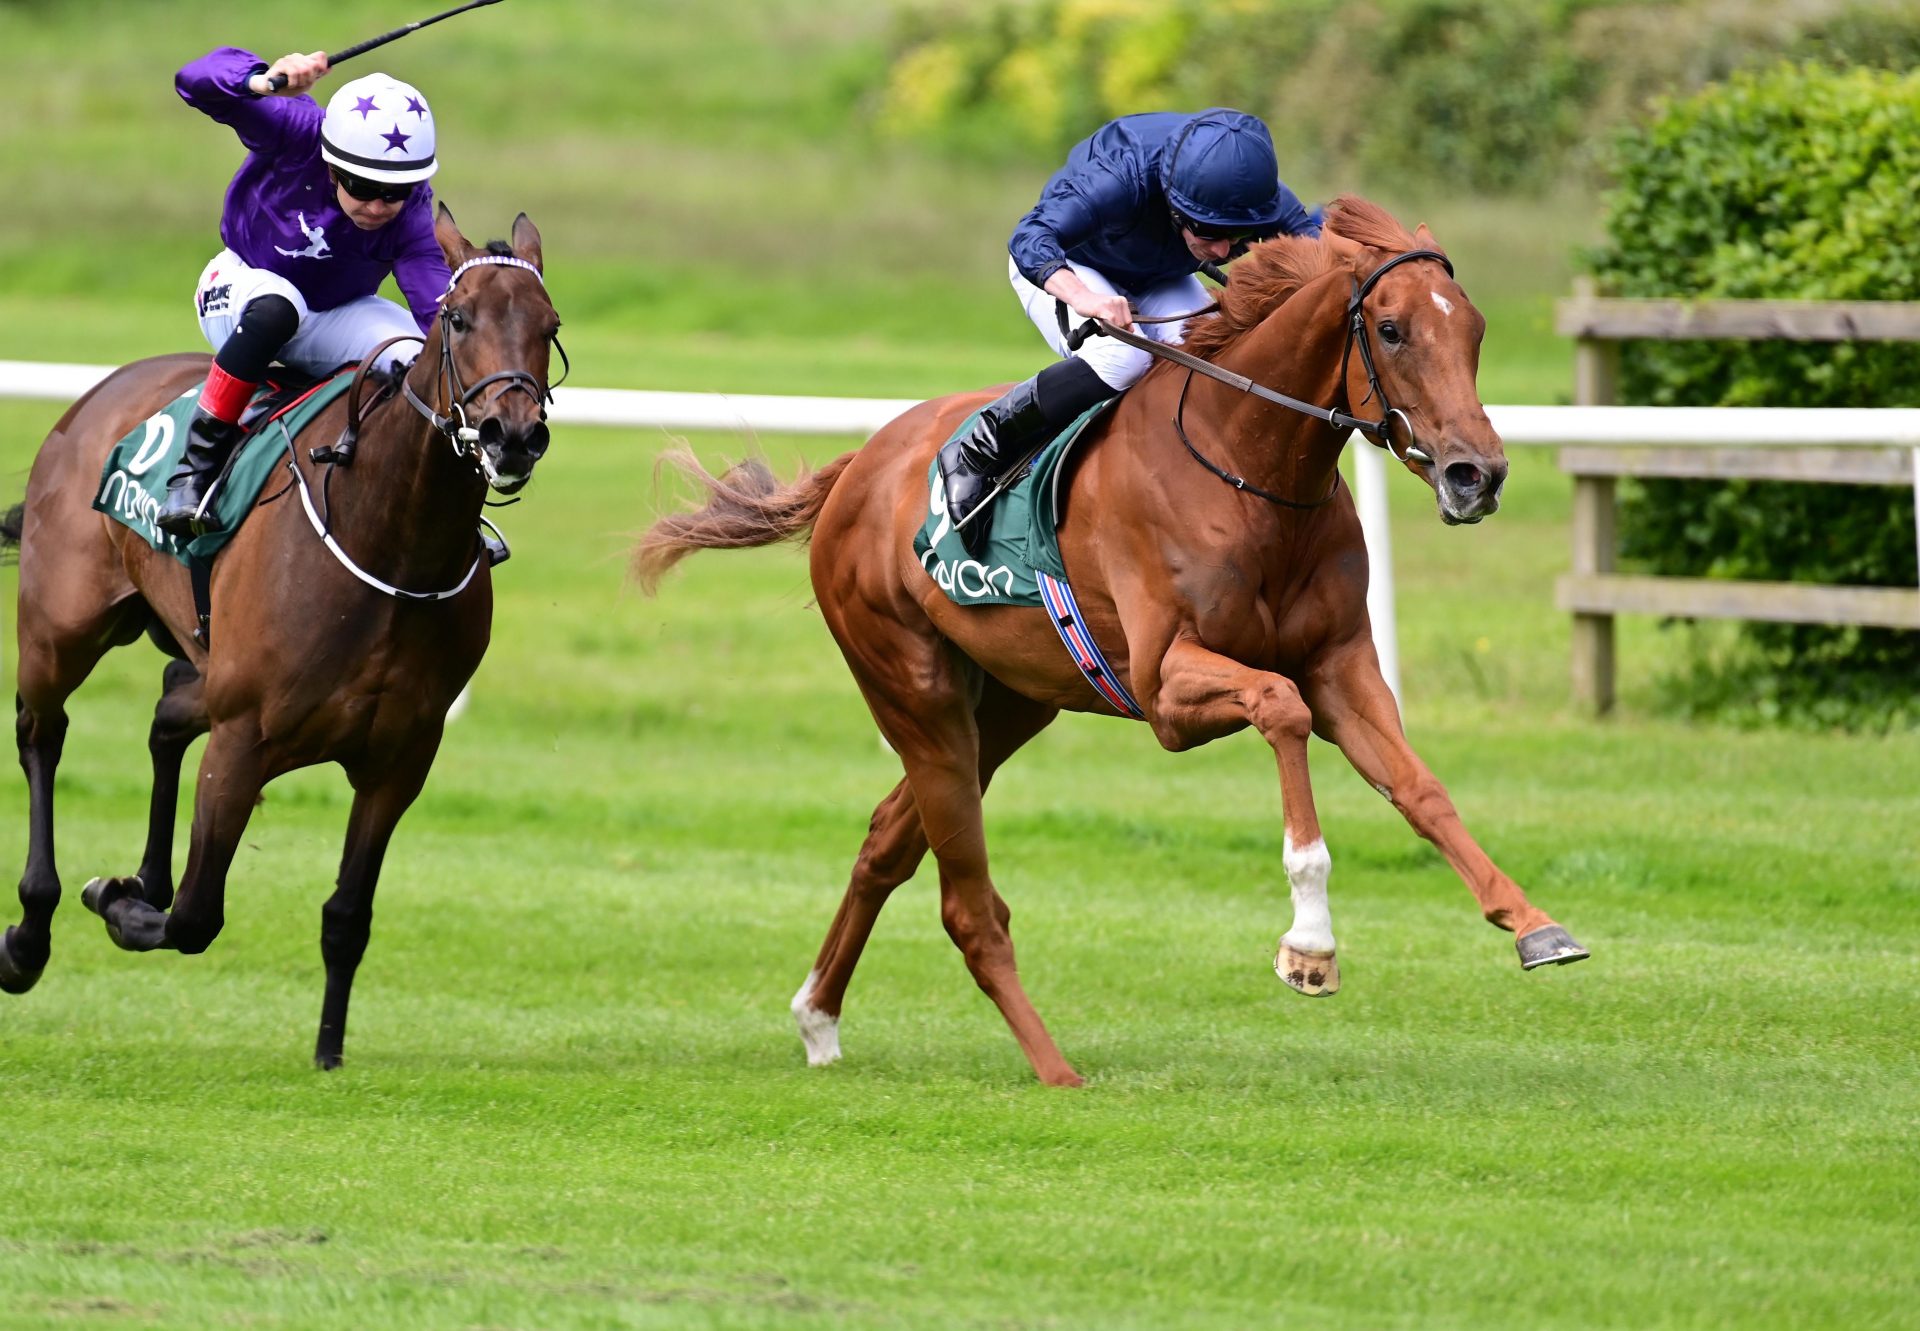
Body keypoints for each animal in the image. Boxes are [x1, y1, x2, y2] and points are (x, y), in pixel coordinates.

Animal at [0, 205, 560, 1067]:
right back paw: (31, 931)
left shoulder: (401, 758)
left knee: (166, 713)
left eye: (549, 324)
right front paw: (117, 901)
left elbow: (347, 916)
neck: (387, 539)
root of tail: (96, 396)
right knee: (42, 732)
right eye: (458, 318)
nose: (513, 434)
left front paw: (328, 1051)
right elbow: (196, 915)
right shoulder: (244, 738)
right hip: (61, 630)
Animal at [645, 199, 1589, 1090]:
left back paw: (818, 1018)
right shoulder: (1168, 688)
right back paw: (1055, 1068)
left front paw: (1535, 924)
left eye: (1473, 328)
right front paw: (1310, 943)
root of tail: (857, 472)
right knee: (968, 906)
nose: (1477, 475)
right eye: (1391, 330)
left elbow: (1420, 787)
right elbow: (1279, 708)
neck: (1250, 468)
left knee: (887, 840)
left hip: (1007, 706)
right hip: (915, 691)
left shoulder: (1343, 664)